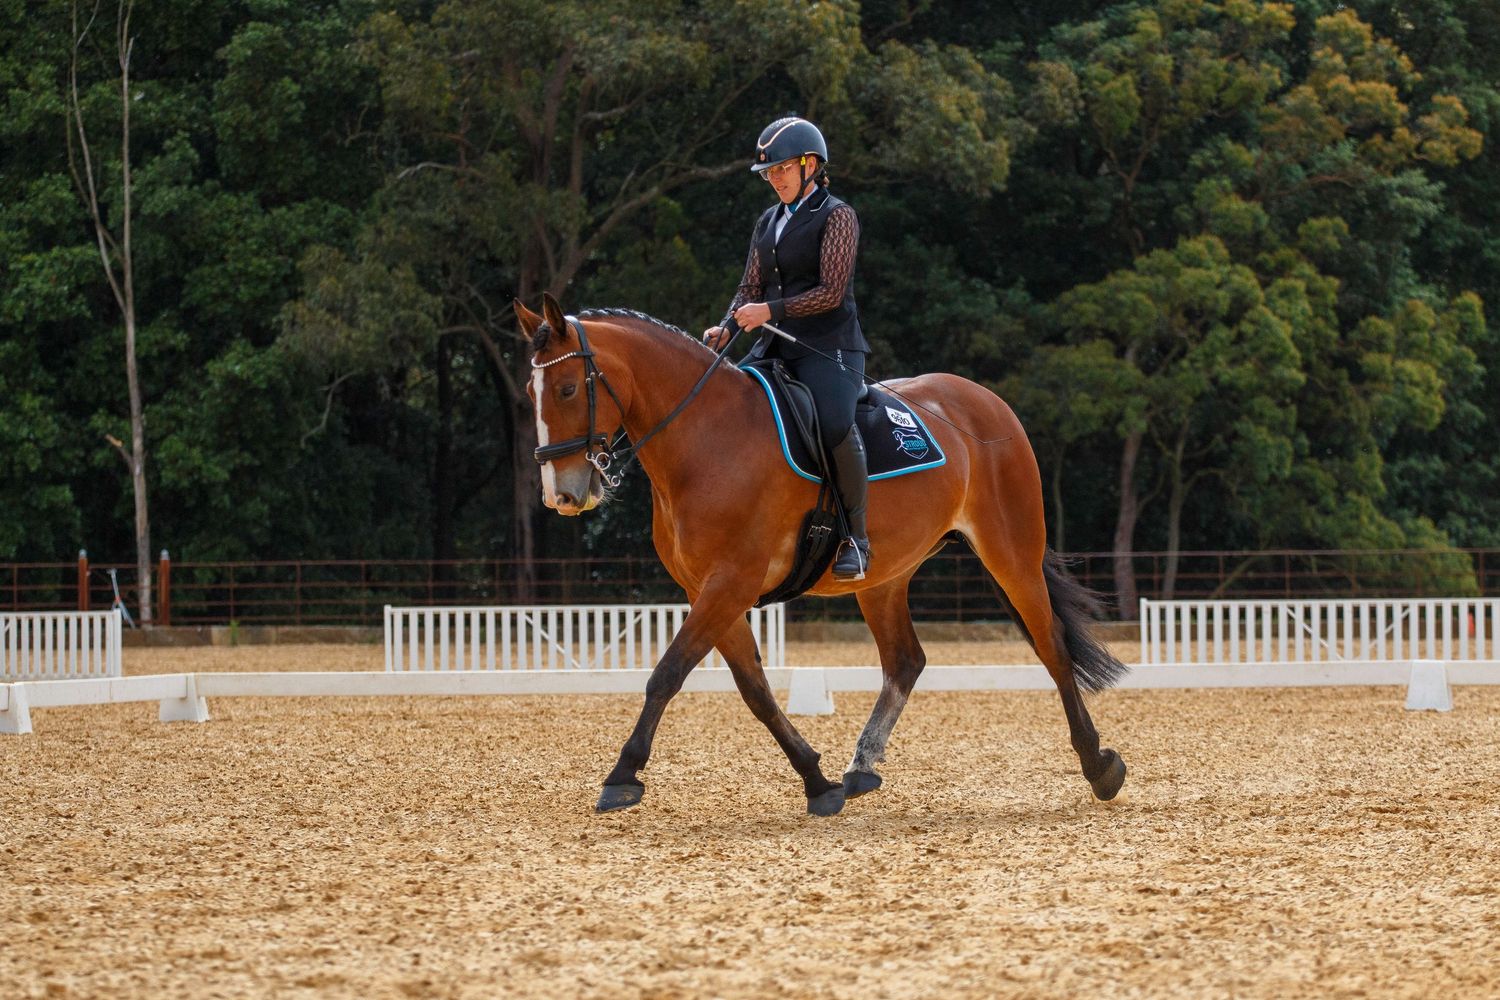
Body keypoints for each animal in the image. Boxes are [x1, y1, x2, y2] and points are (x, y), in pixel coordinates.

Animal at [515, 292, 1128, 816]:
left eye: (567, 389)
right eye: (530, 393)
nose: (561, 495)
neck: (706, 438)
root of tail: (988, 401)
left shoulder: (730, 582)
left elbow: (667, 674)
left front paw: (622, 775)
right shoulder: (710, 589)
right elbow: (755, 691)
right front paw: (817, 780)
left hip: (1011, 550)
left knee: (1050, 645)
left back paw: (1099, 766)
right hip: (884, 576)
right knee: (905, 661)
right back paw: (861, 768)